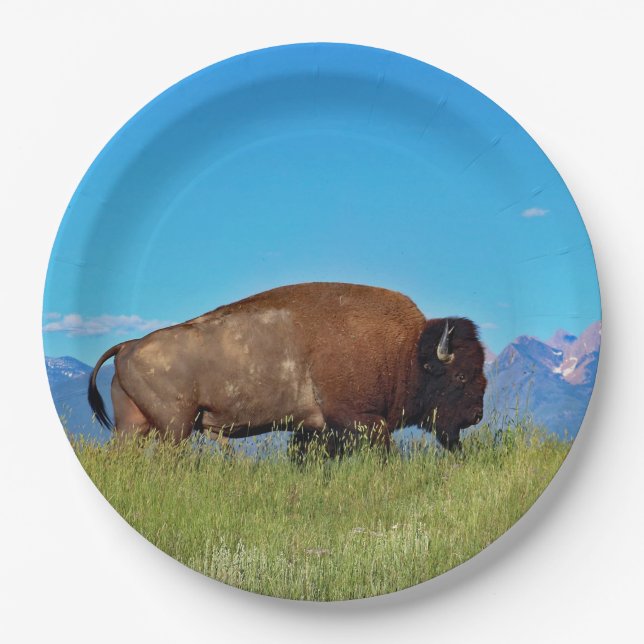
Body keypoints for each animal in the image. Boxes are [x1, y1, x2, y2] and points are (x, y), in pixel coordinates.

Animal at [88, 283, 486, 452]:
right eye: (461, 375)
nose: (477, 415)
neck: (405, 351)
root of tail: (129, 345)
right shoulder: (360, 420)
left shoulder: (313, 429)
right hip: (176, 426)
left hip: (134, 426)